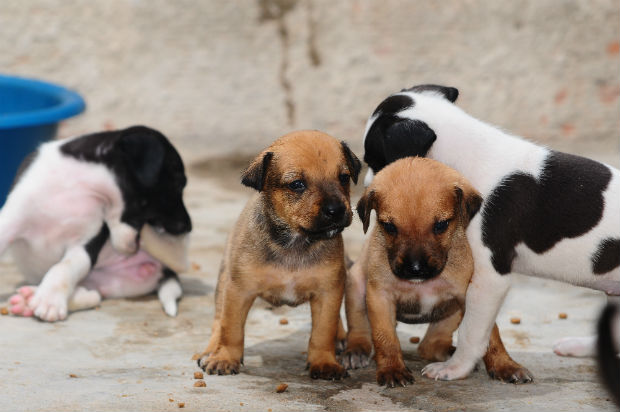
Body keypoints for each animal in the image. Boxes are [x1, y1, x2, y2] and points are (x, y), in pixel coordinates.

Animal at [0, 125, 191, 322]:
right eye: (178, 183)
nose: (188, 226)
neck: (80, 185)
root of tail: (167, 271)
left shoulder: (85, 248)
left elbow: (62, 267)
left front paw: (49, 299)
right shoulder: (9, 223)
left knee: (94, 295)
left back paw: (30, 298)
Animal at [199, 130, 360, 378]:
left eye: (343, 177)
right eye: (297, 184)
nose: (336, 210)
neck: (295, 241)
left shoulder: (328, 291)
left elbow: (323, 331)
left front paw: (324, 361)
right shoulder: (239, 291)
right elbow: (231, 329)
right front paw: (225, 357)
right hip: (224, 281)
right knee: (219, 320)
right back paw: (211, 350)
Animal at [342, 157, 532, 386]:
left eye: (441, 225)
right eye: (389, 227)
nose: (415, 268)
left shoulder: (473, 295)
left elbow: (490, 335)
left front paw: (505, 365)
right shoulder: (380, 298)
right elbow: (384, 337)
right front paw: (392, 369)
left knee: (430, 345)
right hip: (356, 286)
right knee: (359, 325)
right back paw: (356, 350)